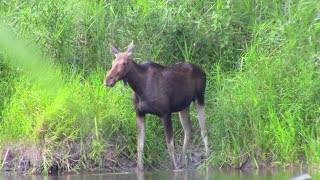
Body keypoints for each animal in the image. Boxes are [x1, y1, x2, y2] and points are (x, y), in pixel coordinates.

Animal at [105, 41, 209, 170]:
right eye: (112, 63)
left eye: (124, 63)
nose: (107, 80)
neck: (139, 88)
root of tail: (203, 71)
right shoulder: (139, 113)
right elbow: (140, 145)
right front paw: (139, 168)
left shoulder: (165, 113)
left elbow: (170, 144)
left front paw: (174, 167)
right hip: (184, 106)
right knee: (188, 130)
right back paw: (182, 162)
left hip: (200, 98)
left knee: (203, 130)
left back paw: (207, 159)